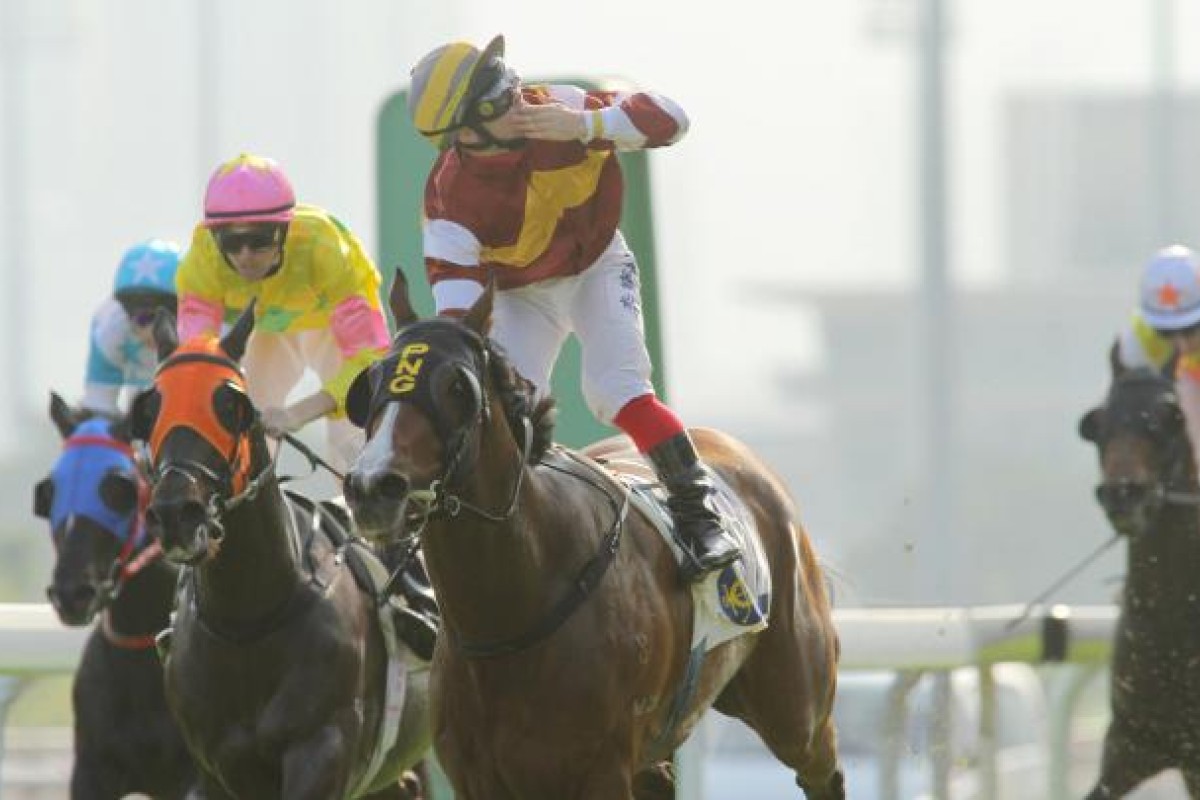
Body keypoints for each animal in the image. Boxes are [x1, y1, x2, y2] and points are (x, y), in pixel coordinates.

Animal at [130, 311, 432, 800]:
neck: (248, 620)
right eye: (150, 409)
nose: (176, 512)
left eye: (230, 406)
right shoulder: (216, 766)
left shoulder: (322, 747)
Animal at [340, 281, 844, 800]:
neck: (510, 612)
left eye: (457, 387)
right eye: (372, 382)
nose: (373, 486)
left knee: (821, 767)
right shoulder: (478, 778)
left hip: (796, 707)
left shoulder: (601, 771)